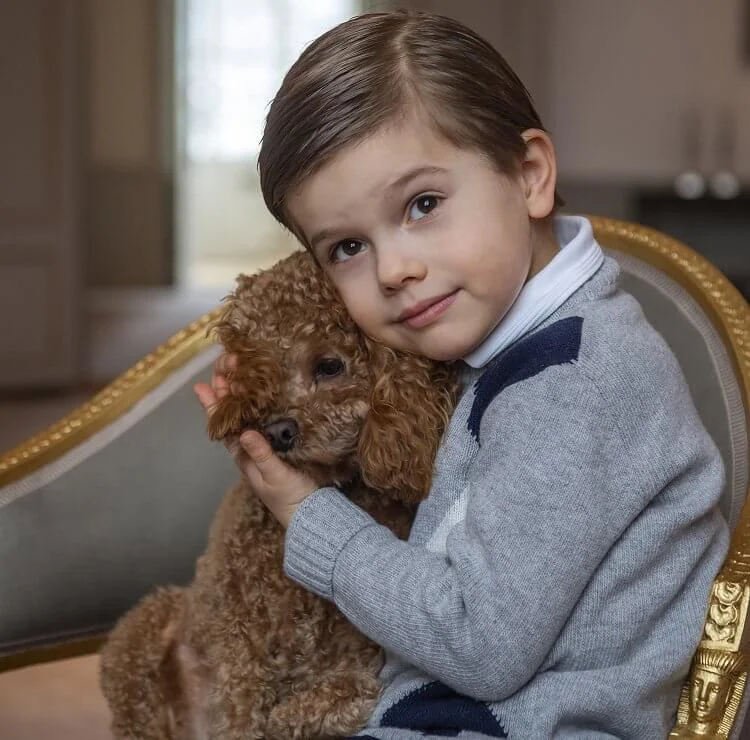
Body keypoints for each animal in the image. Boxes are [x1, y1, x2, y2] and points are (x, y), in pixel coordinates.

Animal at [99, 250, 458, 740]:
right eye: (257, 367)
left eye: (330, 366)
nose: (278, 432)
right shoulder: (240, 643)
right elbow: (243, 711)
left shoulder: (358, 654)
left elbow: (348, 694)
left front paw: (285, 716)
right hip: (143, 634)